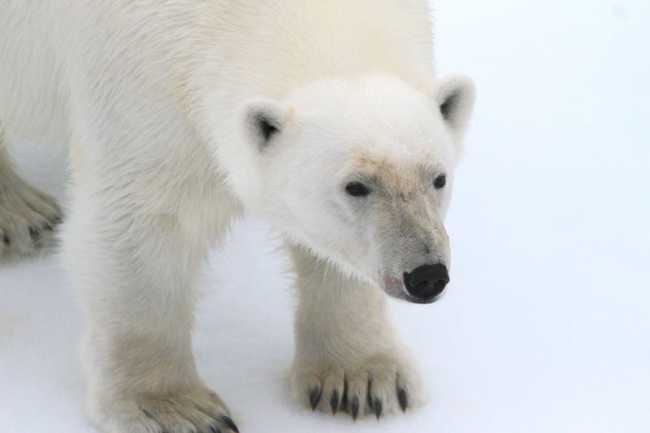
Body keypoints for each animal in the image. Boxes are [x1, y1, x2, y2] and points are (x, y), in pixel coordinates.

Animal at [0, 0, 475, 432]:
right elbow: (138, 227)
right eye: (355, 186)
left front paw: (361, 380)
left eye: (438, 178)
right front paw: (173, 409)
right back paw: (20, 215)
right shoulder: (141, 83)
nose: (426, 275)